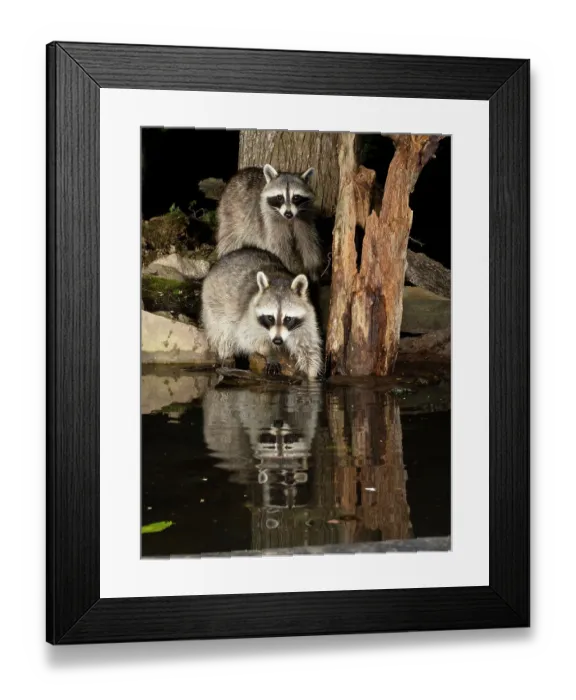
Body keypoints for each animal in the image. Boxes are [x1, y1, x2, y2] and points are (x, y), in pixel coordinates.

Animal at [201, 247, 323, 379]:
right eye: (270, 318)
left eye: (288, 319)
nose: (277, 341)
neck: (281, 280)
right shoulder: (249, 314)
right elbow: (247, 337)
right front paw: (270, 351)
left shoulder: (307, 318)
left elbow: (308, 346)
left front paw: (311, 373)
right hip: (214, 303)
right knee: (222, 333)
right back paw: (226, 355)